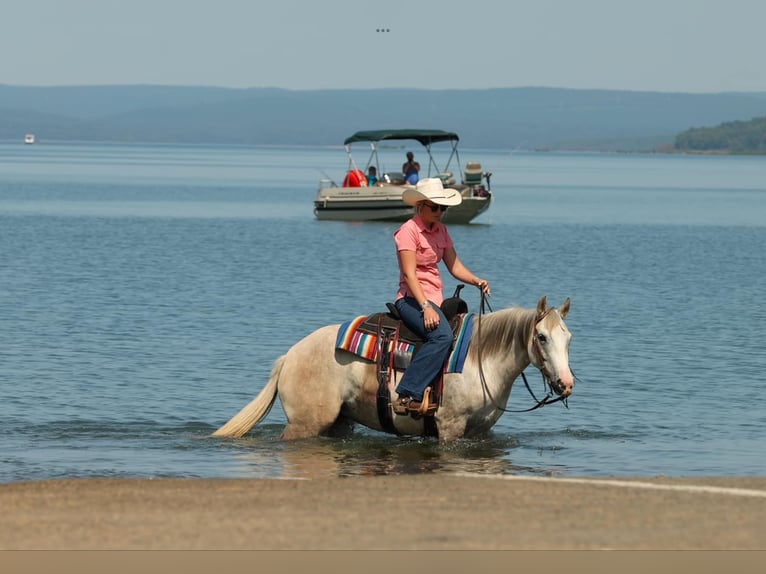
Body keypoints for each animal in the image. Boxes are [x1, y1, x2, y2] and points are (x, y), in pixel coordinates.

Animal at [212, 295, 573, 444]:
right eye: (541, 337)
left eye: (568, 337)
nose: (566, 383)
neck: (480, 358)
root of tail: (288, 357)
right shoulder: (450, 426)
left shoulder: (480, 431)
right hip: (306, 424)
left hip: (339, 422)